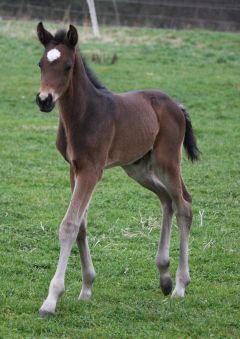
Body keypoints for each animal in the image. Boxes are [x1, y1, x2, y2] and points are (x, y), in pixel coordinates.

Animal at [35, 22, 200, 318]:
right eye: (41, 63)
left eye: (67, 66)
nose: (44, 99)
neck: (83, 114)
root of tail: (177, 106)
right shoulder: (74, 168)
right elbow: (81, 226)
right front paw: (86, 288)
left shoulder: (92, 170)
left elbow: (69, 225)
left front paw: (51, 300)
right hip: (137, 167)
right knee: (167, 200)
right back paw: (165, 277)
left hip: (167, 161)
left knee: (184, 205)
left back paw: (181, 285)